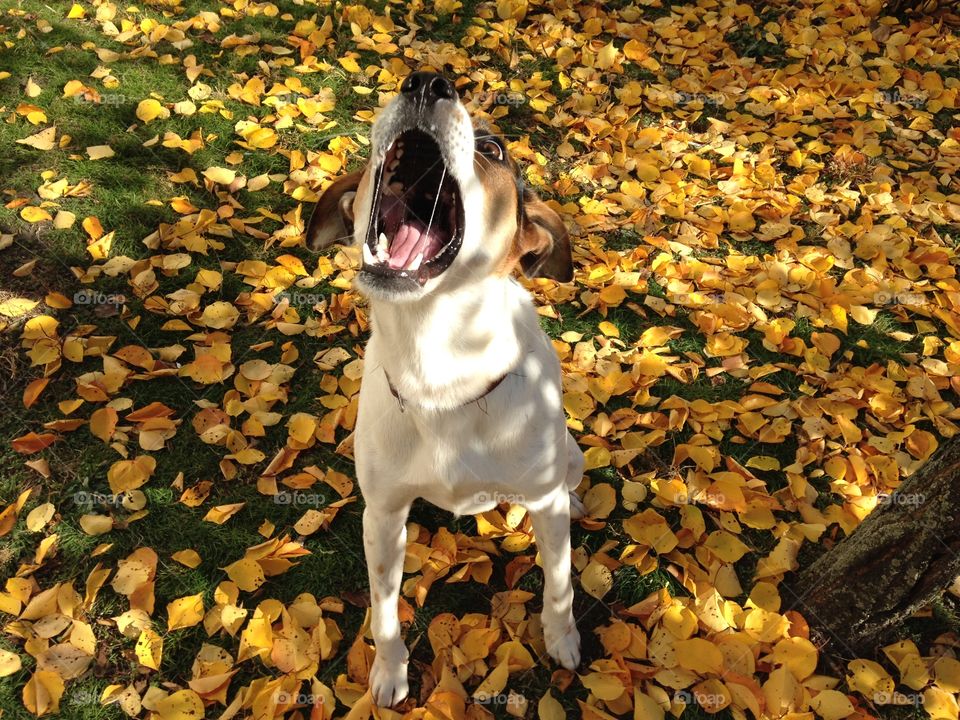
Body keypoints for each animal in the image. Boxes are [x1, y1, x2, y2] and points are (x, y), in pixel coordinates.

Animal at [308, 73, 584, 708]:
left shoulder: (544, 504)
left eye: (496, 149)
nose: (426, 80)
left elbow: (559, 582)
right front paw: (389, 674)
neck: (438, 367)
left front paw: (562, 640)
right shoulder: (382, 515)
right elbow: (384, 611)